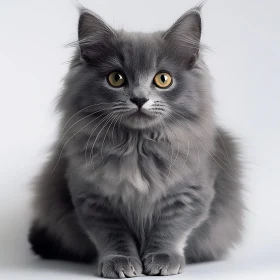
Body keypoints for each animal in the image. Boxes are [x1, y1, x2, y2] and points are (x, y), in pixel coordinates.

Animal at [27, 5, 244, 278]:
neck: (137, 148)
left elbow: (170, 230)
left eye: (163, 79)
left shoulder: (189, 194)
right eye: (116, 78)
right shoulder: (93, 199)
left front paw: (163, 260)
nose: (139, 99)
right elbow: (113, 236)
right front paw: (119, 262)